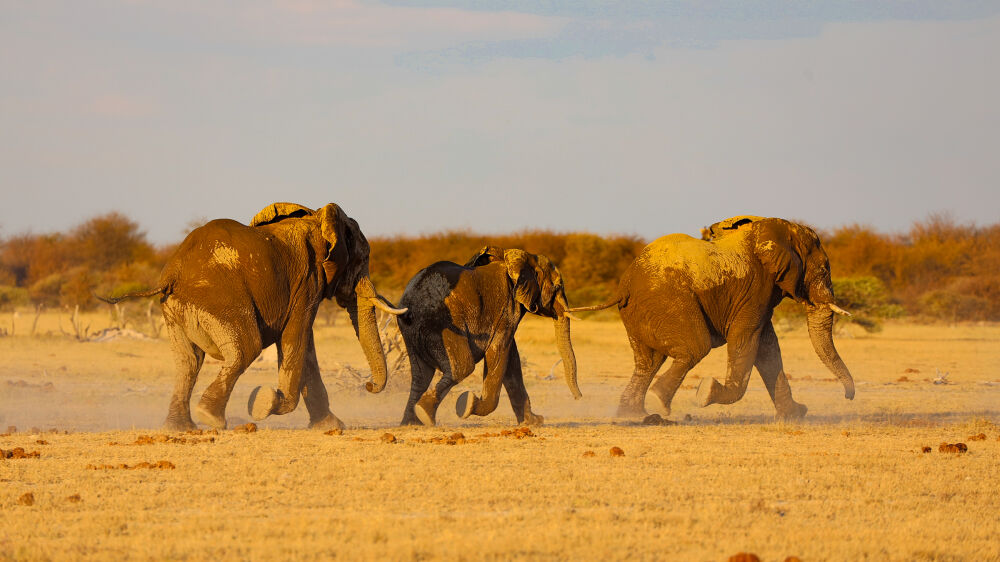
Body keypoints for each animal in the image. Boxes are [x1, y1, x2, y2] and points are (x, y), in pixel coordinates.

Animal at [96, 201, 402, 428]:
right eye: (362, 260)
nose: (368, 385)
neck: (318, 217)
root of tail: (172, 275)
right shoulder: (308, 281)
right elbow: (297, 339)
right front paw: (266, 402)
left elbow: (306, 347)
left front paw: (330, 427)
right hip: (220, 300)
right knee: (245, 349)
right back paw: (211, 419)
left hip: (174, 310)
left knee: (187, 362)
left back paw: (181, 428)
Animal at [394, 245, 584, 424]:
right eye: (558, 286)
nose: (578, 398)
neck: (522, 259)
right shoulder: (507, 309)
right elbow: (499, 353)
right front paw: (468, 404)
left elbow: (512, 361)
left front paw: (534, 422)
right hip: (439, 323)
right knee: (462, 367)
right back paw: (425, 414)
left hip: (413, 331)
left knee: (421, 375)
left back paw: (412, 422)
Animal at [568, 214, 856, 420]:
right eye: (823, 270)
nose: (848, 397)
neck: (776, 228)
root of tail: (625, 285)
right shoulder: (755, 289)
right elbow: (746, 341)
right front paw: (706, 393)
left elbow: (768, 349)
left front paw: (796, 414)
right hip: (668, 302)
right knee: (695, 347)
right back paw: (659, 402)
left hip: (640, 312)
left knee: (647, 362)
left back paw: (635, 414)